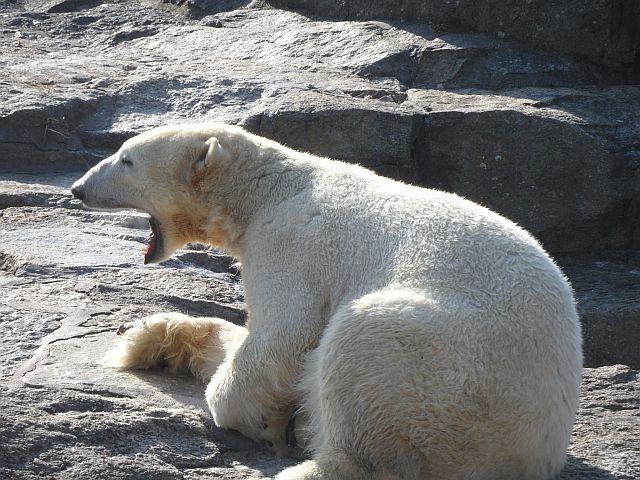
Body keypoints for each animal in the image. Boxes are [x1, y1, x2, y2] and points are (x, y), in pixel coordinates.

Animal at [71, 123, 582, 480]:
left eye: (126, 159)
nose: (77, 188)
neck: (267, 189)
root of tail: (539, 449)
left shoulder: (290, 244)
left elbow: (285, 335)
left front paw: (253, 418)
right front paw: (157, 336)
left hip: (451, 382)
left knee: (363, 356)